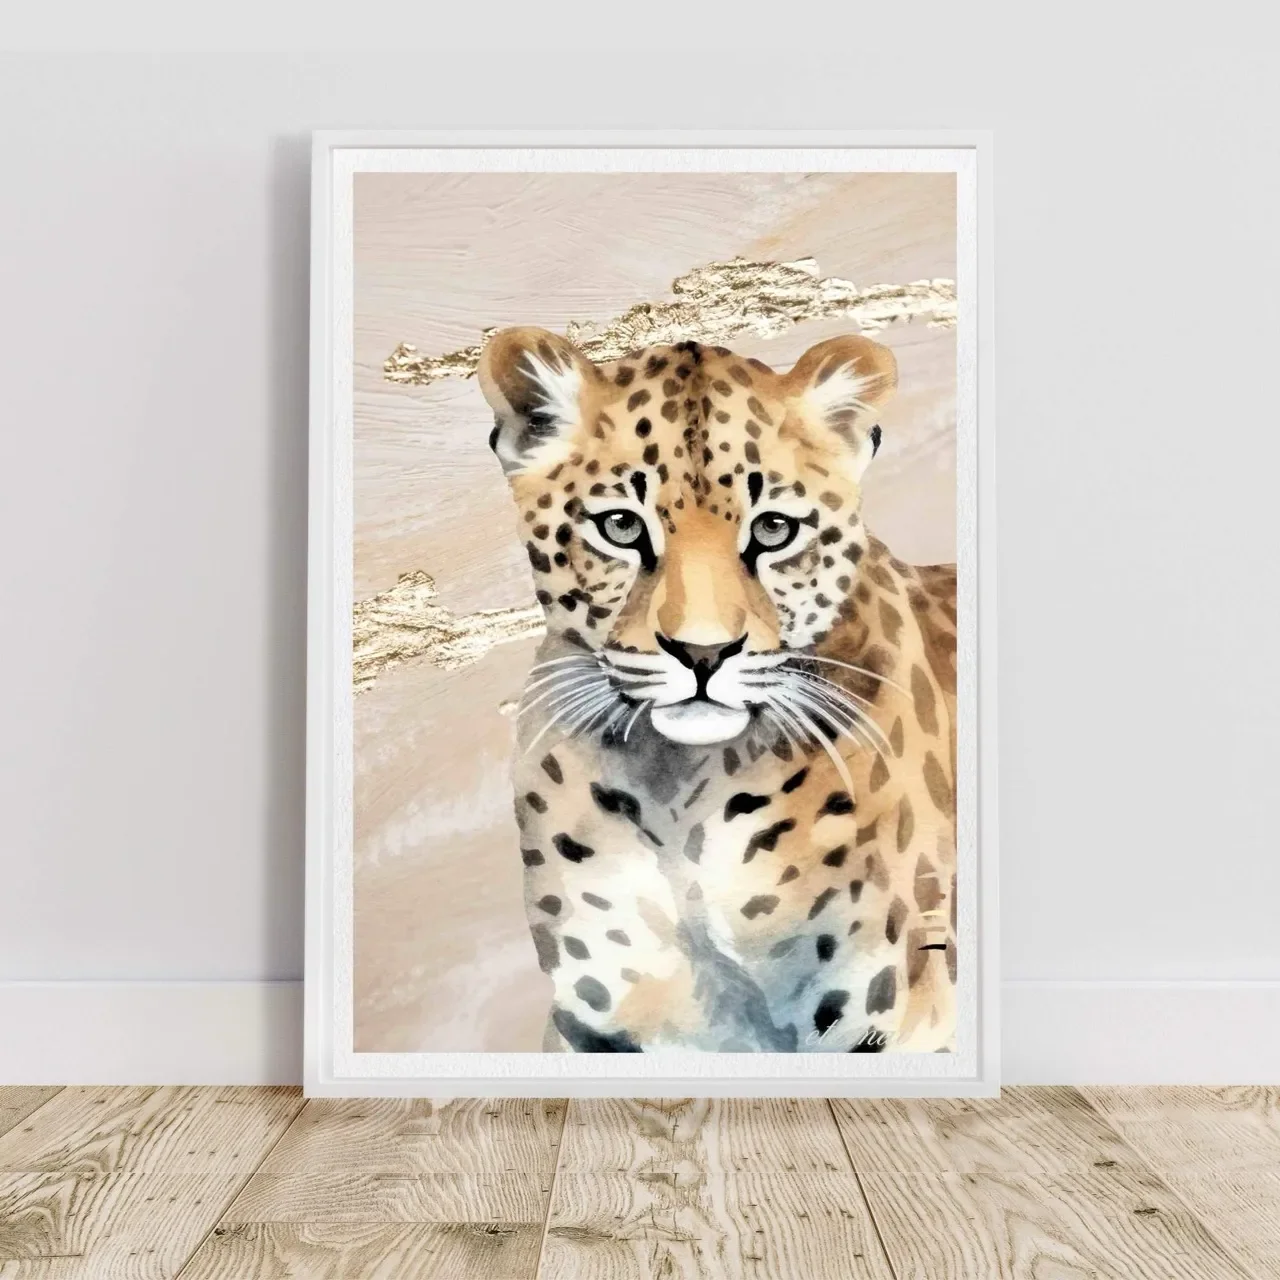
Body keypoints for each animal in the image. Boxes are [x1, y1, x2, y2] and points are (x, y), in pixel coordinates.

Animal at [476, 325, 958, 1054]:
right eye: (621, 526)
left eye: (773, 529)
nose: (703, 652)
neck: (675, 797)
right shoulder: (600, 1025)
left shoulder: (884, 1017)